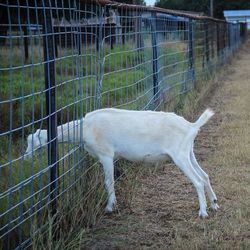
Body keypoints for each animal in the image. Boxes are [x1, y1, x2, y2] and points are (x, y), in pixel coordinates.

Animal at [24, 108, 219, 218]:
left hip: (179, 155)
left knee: (198, 180)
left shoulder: (106, 154)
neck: (86, 128)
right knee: (205, 176)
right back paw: (215, 204)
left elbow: (109, 182)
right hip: (188, 153)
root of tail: (192, 126)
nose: (26, 156)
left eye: (32, 142)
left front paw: (110, 207)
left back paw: (203, 212)